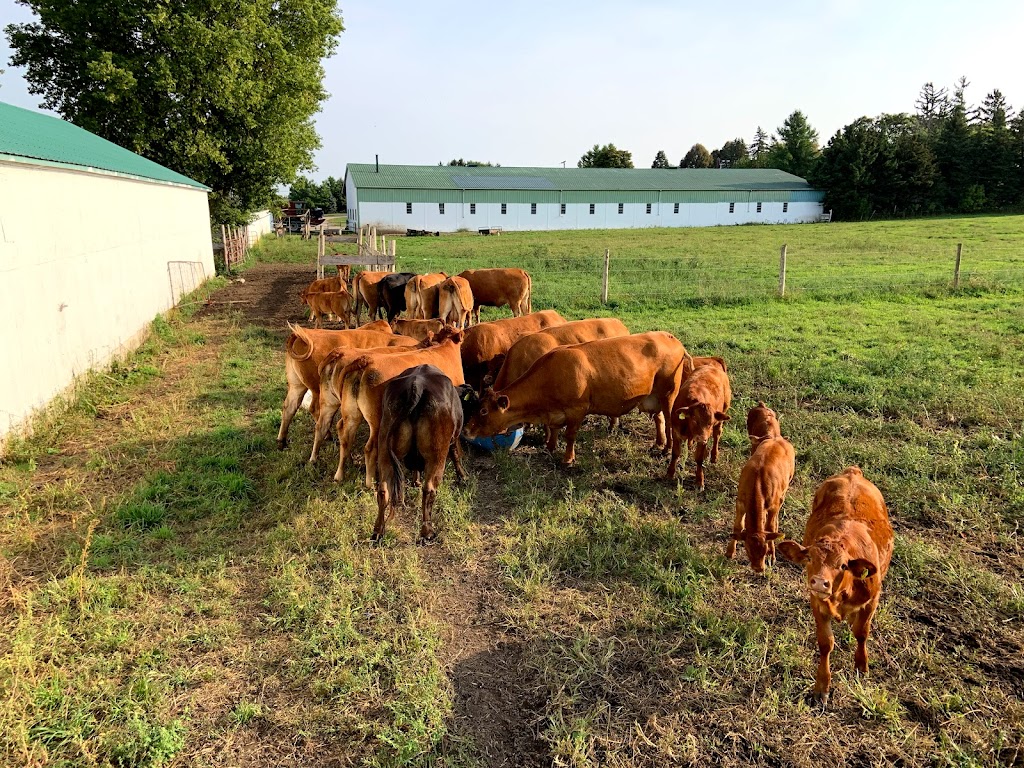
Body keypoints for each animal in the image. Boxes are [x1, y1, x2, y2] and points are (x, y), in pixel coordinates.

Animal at [276, 319, 411, 450]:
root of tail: (302, 334)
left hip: (296, 385)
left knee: (289, 407)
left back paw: (281, 442)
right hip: (316, 389)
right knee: (315, 409)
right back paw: (328, 436)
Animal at [333, 329, 466, 487]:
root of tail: (366, 362)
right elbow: (454, 447)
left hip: (351, 414)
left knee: (346, 438)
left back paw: (340, 474)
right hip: (377, 421)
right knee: (370, 448)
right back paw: (371, 482)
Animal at [464, 333, 688, 466]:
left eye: (483, 411)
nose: (466, 430)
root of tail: (669, 336)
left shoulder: (577, 409)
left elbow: (570, 435)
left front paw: (567, 458)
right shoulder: (554, 413)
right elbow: (554, 430)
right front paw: (550, 447)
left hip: (669, 394)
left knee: (669, 422)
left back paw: (666, 449)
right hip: (653, 397)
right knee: (659, 419)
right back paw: (658, 443)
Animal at [729, 434, 798, 573]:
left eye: (764, 551)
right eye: (748, 550)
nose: (759, 568)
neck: (757, 483)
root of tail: (778, 438)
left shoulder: (773, 506)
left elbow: (769, 528)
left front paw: (772, 555)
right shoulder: (740, 503)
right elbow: (738, 527)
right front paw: (729, 552)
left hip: (784, 490)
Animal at [778, 466, 892, 708]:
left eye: (843, 565)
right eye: (809, 558)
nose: (820, 582)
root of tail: (852, 473)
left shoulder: (872, 600)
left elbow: (861, 633)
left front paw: (861, 666)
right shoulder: (817, 603)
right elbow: (825, 643)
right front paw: (822, 687)